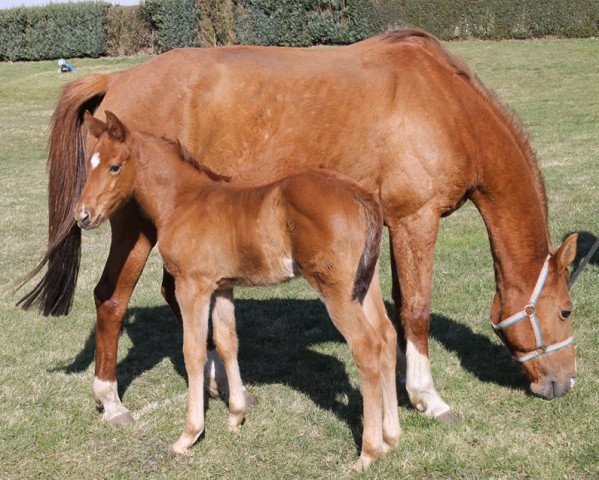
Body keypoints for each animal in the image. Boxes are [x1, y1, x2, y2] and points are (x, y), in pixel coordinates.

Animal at [75, 111, 404, 468]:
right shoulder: (222, 288)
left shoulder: (193, 286)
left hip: (336, 289)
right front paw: (236, 415)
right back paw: (391, 438)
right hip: (365, 285)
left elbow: (194, 352)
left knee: (366, 347)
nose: (82, 215)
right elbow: (226, 342)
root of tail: (360, 194)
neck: (183, 202)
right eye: (88, 163)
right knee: (387, 337)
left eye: (114, 166)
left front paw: (188, 436)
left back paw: (368, 451)